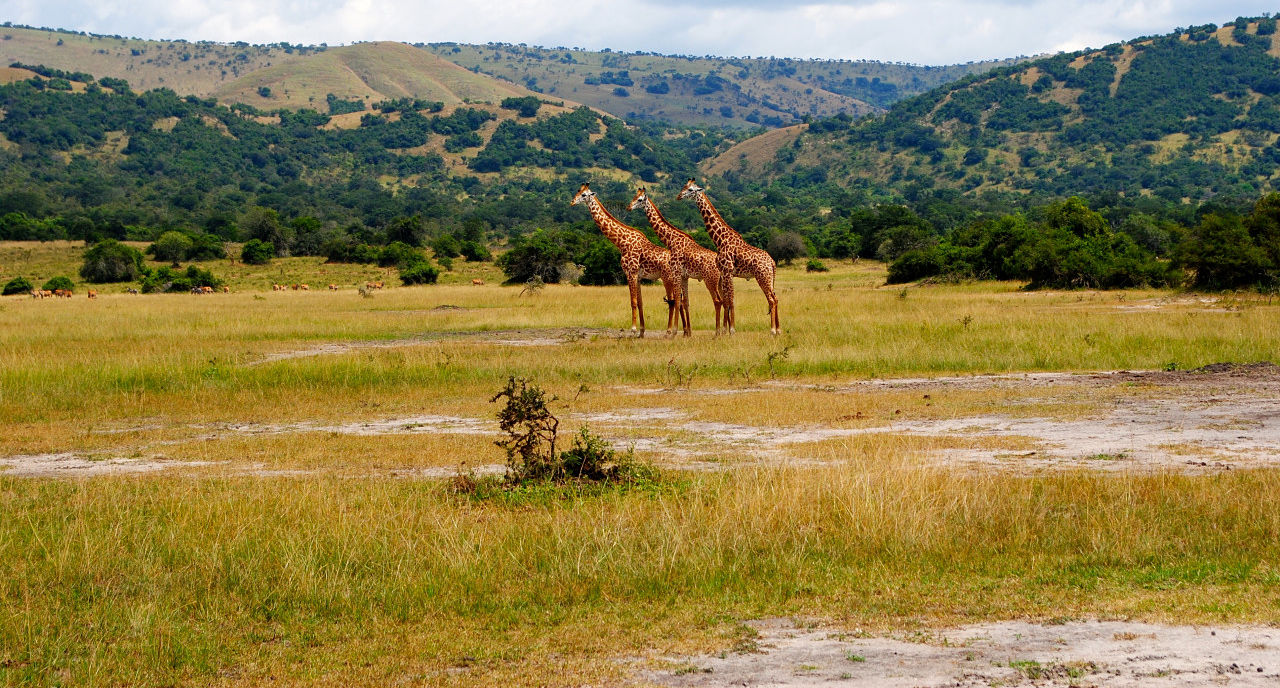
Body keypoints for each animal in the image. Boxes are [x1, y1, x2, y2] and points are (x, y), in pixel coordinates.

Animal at [573, 180, 686, 332]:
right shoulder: (637, 276)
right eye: (578, 191)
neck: (622, 242)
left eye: (584, 194)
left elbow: (633, 301)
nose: (572, 202)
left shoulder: (630, 273)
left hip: (667, 278)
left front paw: (633, 328)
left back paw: (670, 330)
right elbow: (640, 303)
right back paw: (682, 331)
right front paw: (641, 330)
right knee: (678, 300)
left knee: (673, 301)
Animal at [627, 184, 727, 335]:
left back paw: (717, 333)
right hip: (719, 281)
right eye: (633, 196)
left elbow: (677, 301)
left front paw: (673, 332)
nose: (629, 207)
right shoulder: (684, 276)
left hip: (710, 280)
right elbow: (685, 302)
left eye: (639, 199)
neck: (671, 239)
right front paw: (688, 333)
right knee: (725, 301)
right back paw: (723, 332)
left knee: (717, 301)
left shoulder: (676, 273)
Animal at [680, 179, 778, 335]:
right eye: (684, 187)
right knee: (775, 298)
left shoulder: (727, 271)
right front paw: (725, 330)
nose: (679, 196)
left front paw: (731, 330)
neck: (720, 239)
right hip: (770, 278)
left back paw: (773, 331)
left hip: (763, 277)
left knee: (772, 300)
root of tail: (772, 263)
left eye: (690, 190)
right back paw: (778, 330)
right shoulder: (727, 273)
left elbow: (730, 300)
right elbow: (727, 300)